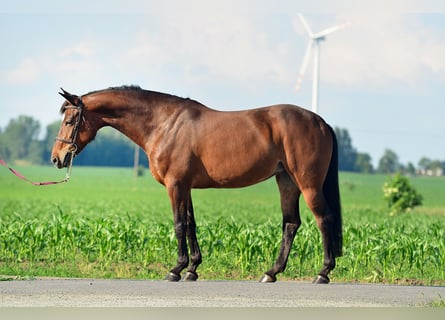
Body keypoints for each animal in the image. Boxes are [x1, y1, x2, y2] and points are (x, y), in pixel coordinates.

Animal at [53, 85, 344, 282]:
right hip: (286, 181)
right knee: (291, 224)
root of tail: (320, 122)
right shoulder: (186, 187)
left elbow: (179, 225)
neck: (164, 124)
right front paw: (192, 268)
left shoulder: (175, 185)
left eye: (70, 120)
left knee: (324, 219)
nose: (57, 157)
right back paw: (271, 272)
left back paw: (323, 272)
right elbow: (191, 224)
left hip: (308, 185)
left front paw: (176, 269)